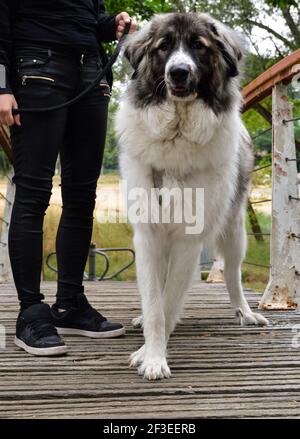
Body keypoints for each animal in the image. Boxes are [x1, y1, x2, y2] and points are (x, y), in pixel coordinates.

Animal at [115, 12, 270, 380]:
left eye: (199, 47)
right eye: (164, 46)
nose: (178, 72)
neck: (177, 133)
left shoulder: (188, 239)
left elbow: (170, 299)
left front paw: (152, 355)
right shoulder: (149, 235)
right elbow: (155, 302)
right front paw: (151, 349)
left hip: (235, 234)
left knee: (233, 276)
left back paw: (245, 312)